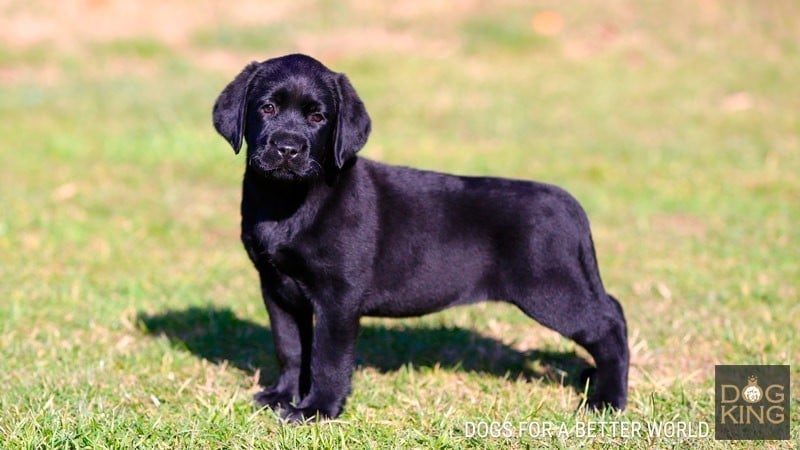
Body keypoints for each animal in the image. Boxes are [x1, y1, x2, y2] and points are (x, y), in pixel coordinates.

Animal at [212, 52, 632, 422]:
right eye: (267, 108)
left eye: (318, 117)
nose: (288, 148)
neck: (288, 199)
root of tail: (570, 205)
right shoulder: (277, 288)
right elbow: (291, 348)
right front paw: (281, 397)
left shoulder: (338, 297)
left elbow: (327, 359)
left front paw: (316, 410)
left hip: (551, 290)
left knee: (610, 323)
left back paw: (607, 401)